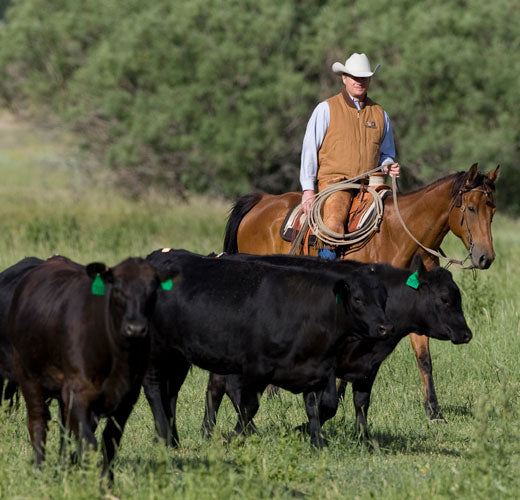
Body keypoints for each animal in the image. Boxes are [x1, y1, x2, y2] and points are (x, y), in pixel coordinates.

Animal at [8, 256, 162, 478]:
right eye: (117, 288)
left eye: (153, 291)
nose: (135, 328)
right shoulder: (78, 392)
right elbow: (88, 442)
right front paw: (86, 479)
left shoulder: (128, 397)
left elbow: (109, 441)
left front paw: (106, 480)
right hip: (29, 377)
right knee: (38, 421)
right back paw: (39, 470)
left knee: (64, 426)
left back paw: (64, 465)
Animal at [144, 248, 392, 448]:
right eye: (358, 299)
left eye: (383, 299)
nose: (384, 327)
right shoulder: (257, 369)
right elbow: (249, 407)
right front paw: (233, 439)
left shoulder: (316, 369)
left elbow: (317, 408)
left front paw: (317, 443)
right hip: (156, 351)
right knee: (154, 389)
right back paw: (164, 438)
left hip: (177, 357)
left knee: (171, 393)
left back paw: (172, 440)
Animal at [199, 254, 472, 438]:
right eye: (445, 299)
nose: (466, 334)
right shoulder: (327, 363)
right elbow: (328, 406)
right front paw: (303, 429)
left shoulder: (369, 365)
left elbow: (361, 401)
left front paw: (363, 438)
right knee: (232, 388)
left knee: (217, 385)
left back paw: (208, 429)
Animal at [223, 165, 500, 422]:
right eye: (471, 208)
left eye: (493, 210)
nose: (485, 258)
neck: (399, 238)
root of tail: (262, 200)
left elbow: (424, 358)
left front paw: (433, 410)